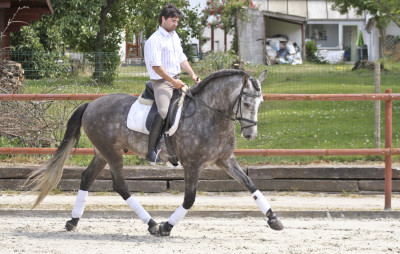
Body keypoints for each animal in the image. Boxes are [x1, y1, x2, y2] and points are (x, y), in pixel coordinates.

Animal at [27, 69, 284, 236]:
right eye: (247, 103)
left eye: (261, 102)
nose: (250, 135)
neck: (211, 114)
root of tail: (91, 103)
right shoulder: (193, 164)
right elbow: (190, 199)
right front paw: (167, 227)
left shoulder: (225, 160)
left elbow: (250, 184)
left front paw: (273, 219)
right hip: (111, 152)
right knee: (120, 186)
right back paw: (151, 224)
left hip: (102, 151)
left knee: (87, 177)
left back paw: (73, 221)